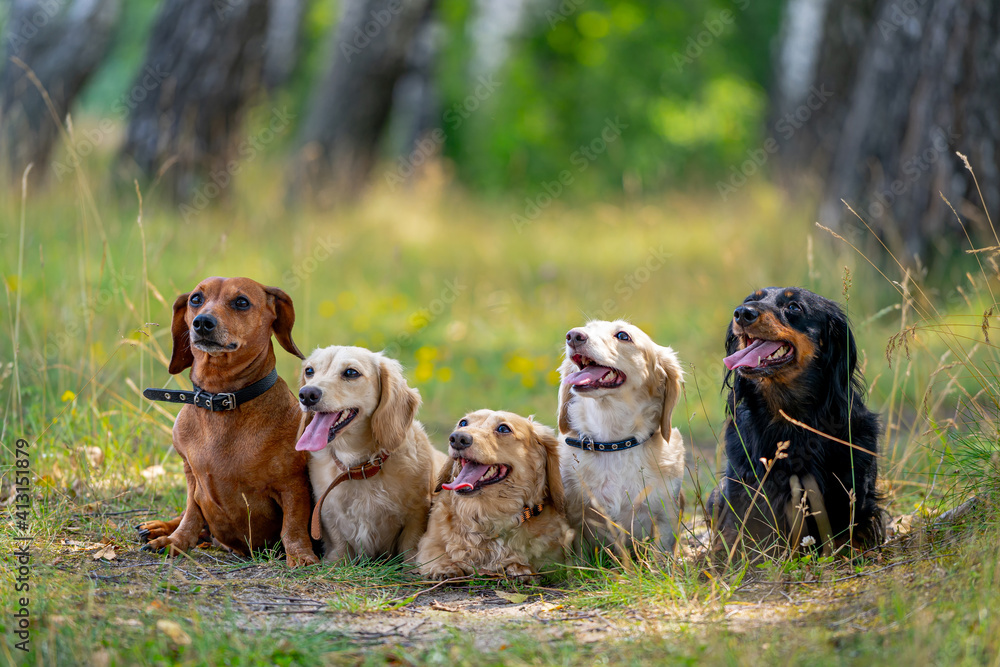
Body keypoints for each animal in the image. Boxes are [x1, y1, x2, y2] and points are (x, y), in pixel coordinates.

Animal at [292, 348, 442, 560]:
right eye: (309, 370)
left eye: (351, 372)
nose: (306, 394)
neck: (358, 466)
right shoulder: (328, 514)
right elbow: (339, 544)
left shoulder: (416, 514)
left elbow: (410, 545)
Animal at [414, 410, 572, 580]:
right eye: (463, 423)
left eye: (503, 428)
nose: (457, 439)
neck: (484, 516)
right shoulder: (429, 543)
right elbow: (437, 553)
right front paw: (444, 567)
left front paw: (521, 568)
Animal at [556, 320, 688, 556]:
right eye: (588, 327)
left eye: (623, 336)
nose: (573, 336)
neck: (612, 444)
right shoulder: (576, 519)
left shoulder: (665, 515)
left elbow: (660, 553)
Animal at [708, 288, 888, 560]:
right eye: (751, 300)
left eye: (794, 307)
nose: (742, 313)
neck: (789, 420)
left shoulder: (853, 489)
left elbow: (851, 530)